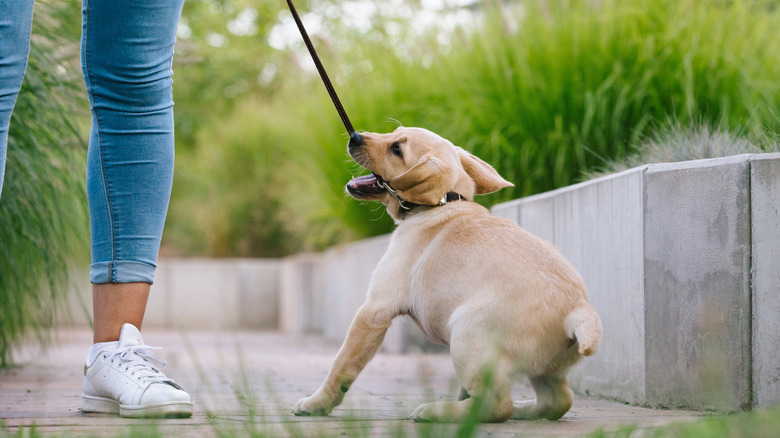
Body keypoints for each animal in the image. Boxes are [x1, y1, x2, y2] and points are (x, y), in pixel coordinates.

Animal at [292, 128, 604, 422]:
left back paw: (437, 411)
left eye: (397, 149)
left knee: (497, 404)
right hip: (547, 366)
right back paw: (521, 409)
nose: (355, 136)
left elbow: (342, 364)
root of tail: (578, 307)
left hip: (466, 334)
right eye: (394, 132)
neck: (443, 202)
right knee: (557, 400)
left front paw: (316, 403)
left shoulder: (374, 311)